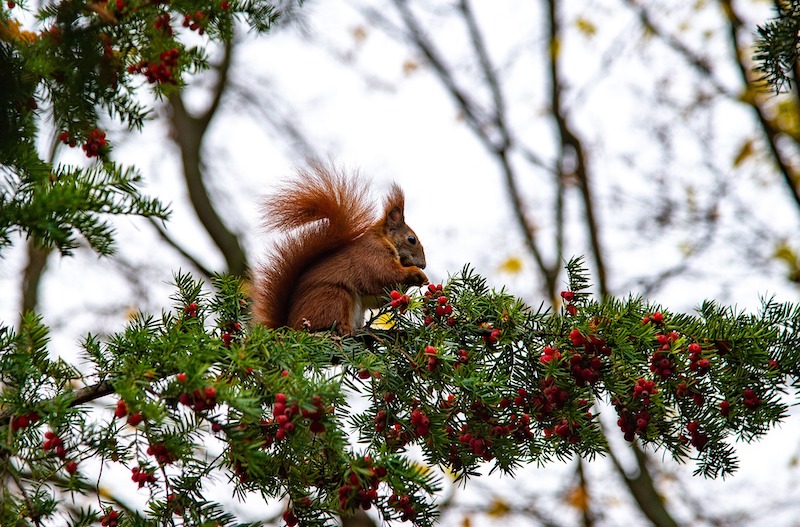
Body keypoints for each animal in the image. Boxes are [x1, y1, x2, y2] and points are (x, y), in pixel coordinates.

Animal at [253, 164, 428, 334]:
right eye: (411, 239)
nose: (424, 265)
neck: (383, 238)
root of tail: (288, 326)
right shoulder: (372, 254)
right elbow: (384, 275)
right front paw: (416, 274)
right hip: (335, 297)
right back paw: (343, 328)